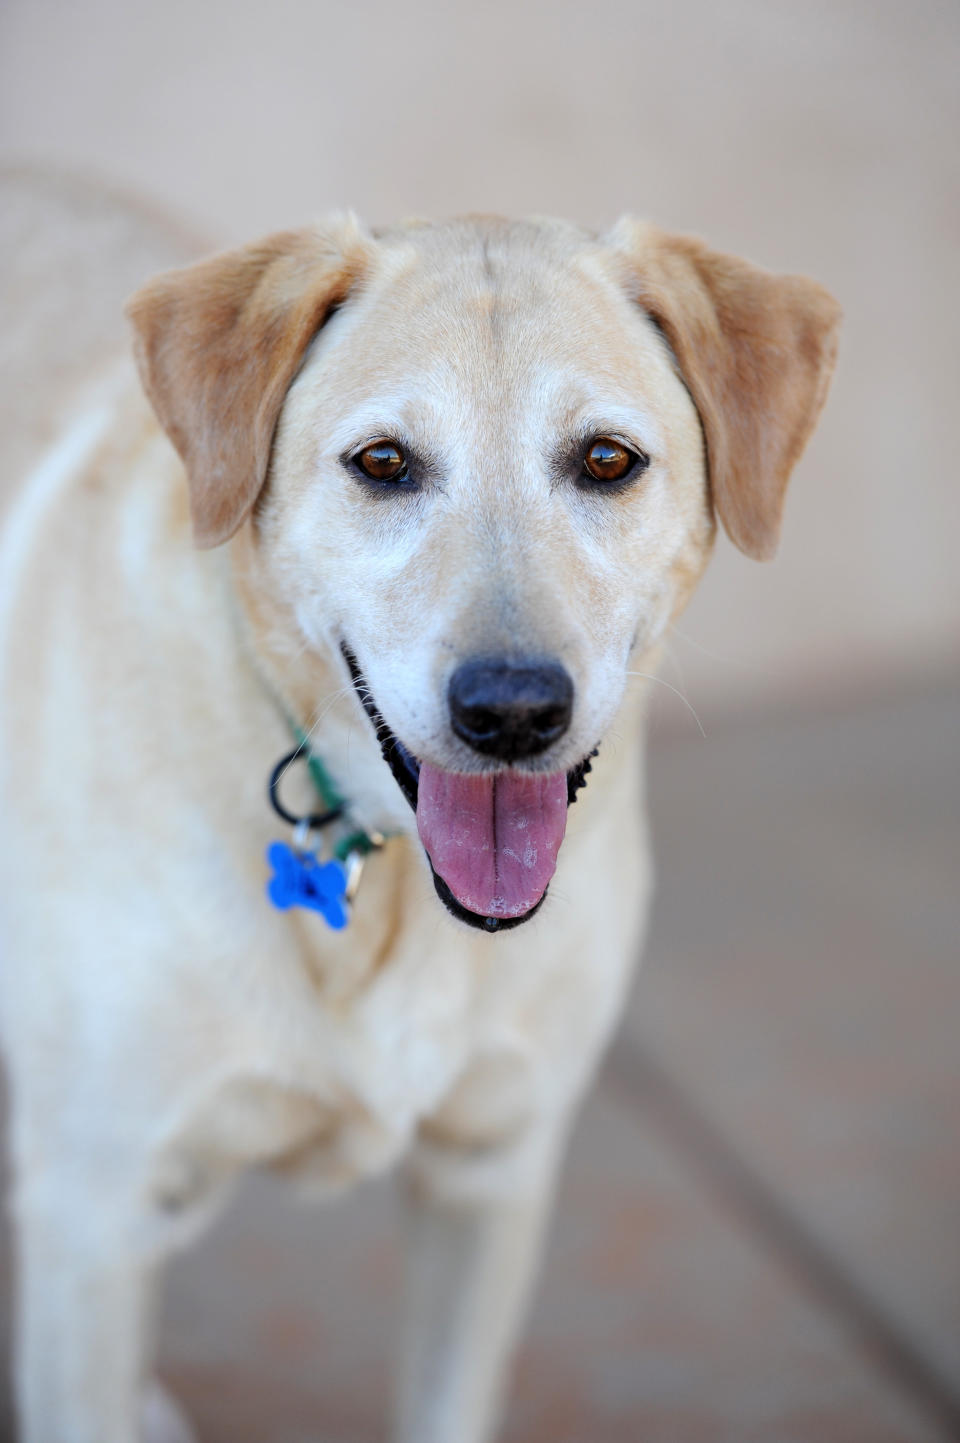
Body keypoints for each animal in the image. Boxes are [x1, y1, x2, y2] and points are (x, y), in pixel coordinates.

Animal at [0, 183, 837, 1443]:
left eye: (607, 460)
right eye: (384, 463)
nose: (513, 712)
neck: (384, 876)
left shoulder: (491, 1173)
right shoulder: (97, 1214)